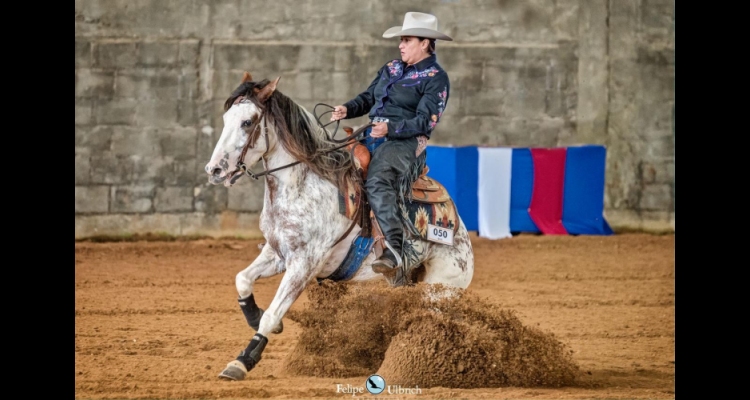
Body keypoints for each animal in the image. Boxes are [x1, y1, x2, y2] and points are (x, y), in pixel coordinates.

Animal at [204, 72, 476, 382]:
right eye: (226, 118)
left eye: (248, 122)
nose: (214, 170)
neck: (303, 185)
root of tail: (459, 228)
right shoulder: (277, 253)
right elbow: (242, 280)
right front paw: (254, 317)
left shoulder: (305, 264)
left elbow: (273, 313)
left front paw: (242, 361)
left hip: (443, 286)